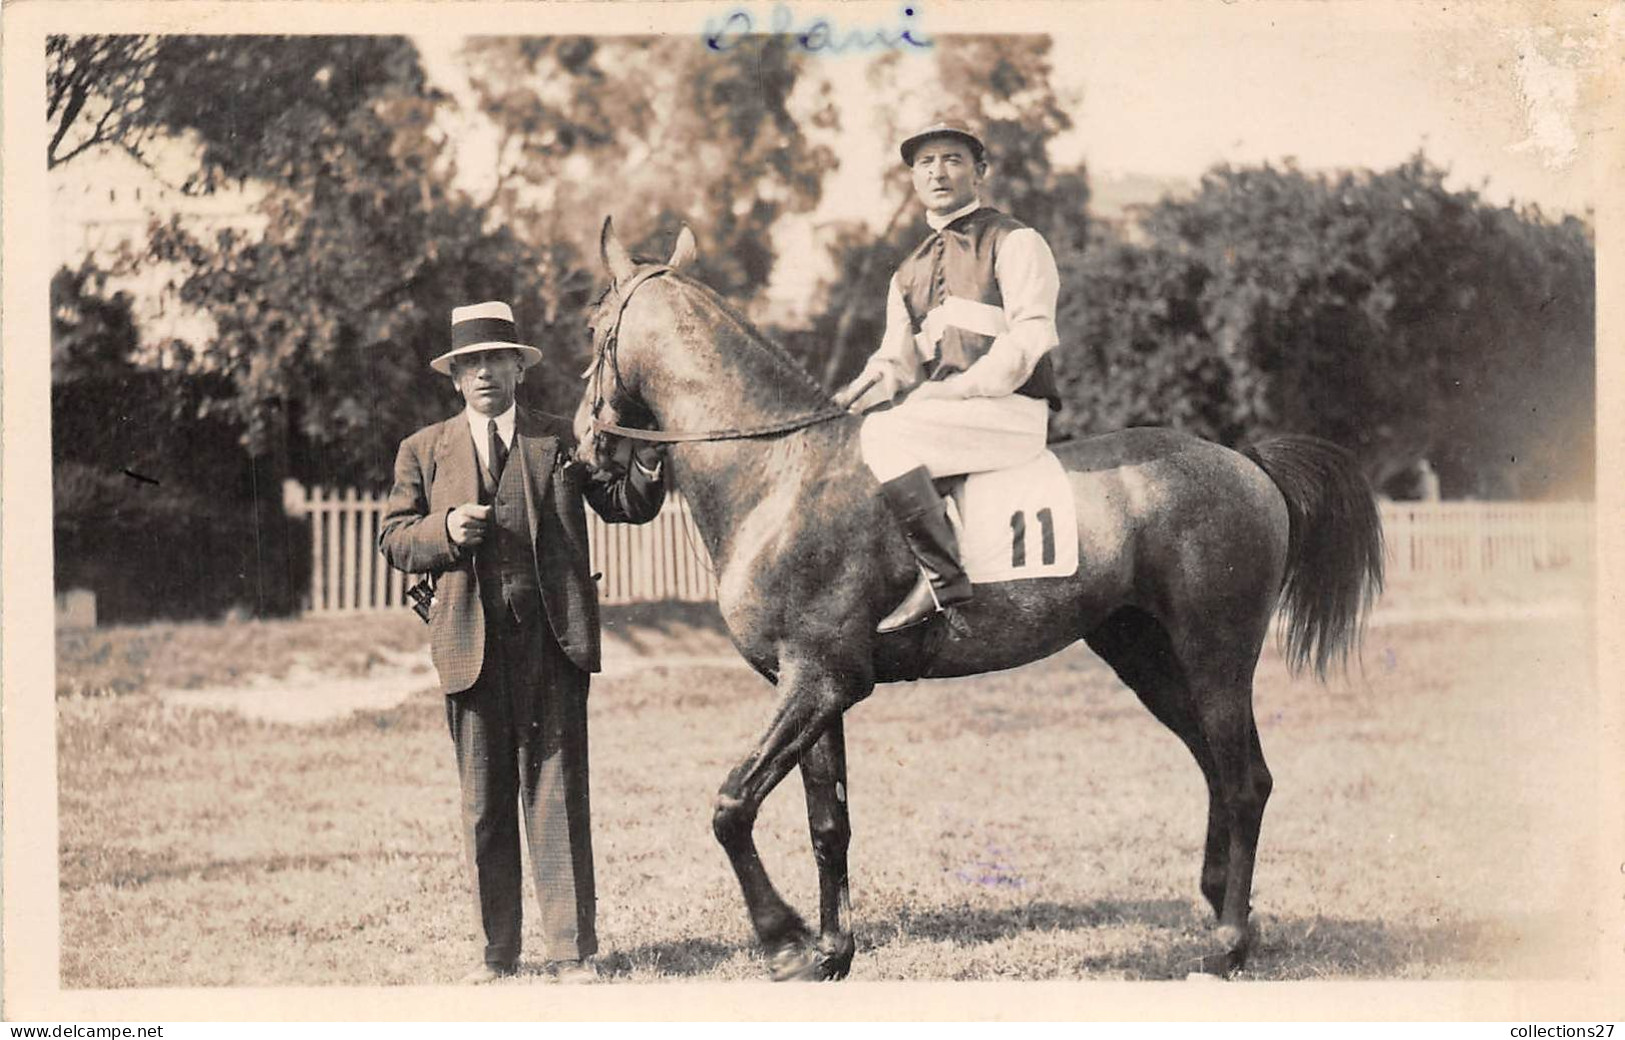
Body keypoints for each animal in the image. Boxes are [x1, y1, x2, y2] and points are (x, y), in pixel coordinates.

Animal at [572, 214, 1384, 981]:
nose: (586, 451)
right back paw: (1224, 912)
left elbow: (732, 806)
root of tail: (1246, 462)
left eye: (589, 325)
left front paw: (783, 942)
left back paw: (1226, 943)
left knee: (1243, 782)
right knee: (1222, 772)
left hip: (1216, 657)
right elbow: (827, 824)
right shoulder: (811, 687)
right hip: (1150, 660)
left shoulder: (820, 681)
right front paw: (831, 953)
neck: (781, 473)